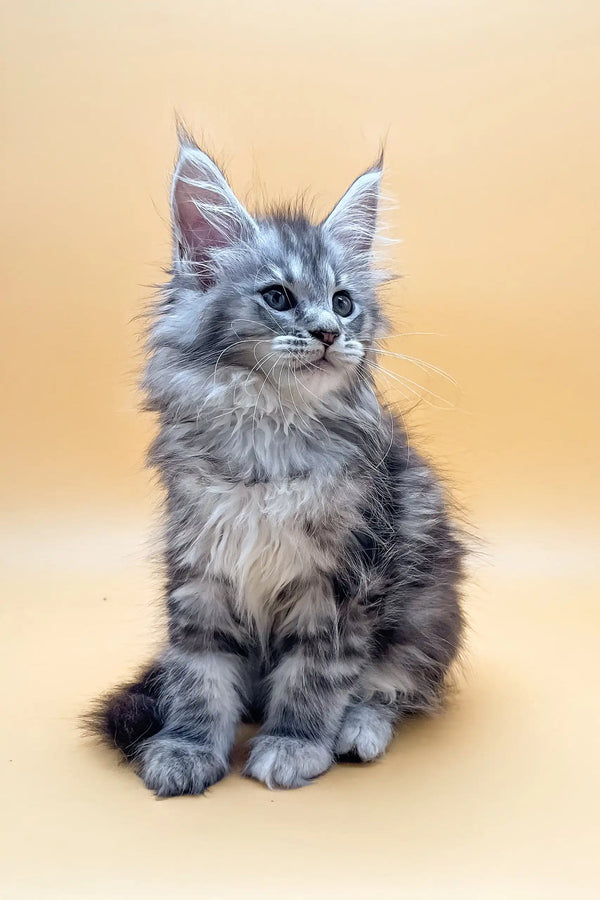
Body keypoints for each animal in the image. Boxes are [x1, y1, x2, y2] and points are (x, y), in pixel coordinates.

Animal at [88, 128, 464, 796]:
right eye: (278, 298)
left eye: (343, 302)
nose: (327, 332)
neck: (270, 430)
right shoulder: (200, 568)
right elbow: (198, 676)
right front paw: (186, 748)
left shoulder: (342, 582)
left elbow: (315, 676)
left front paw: (295, 744)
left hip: (428, 614)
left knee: (394, 687)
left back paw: (358, 730)